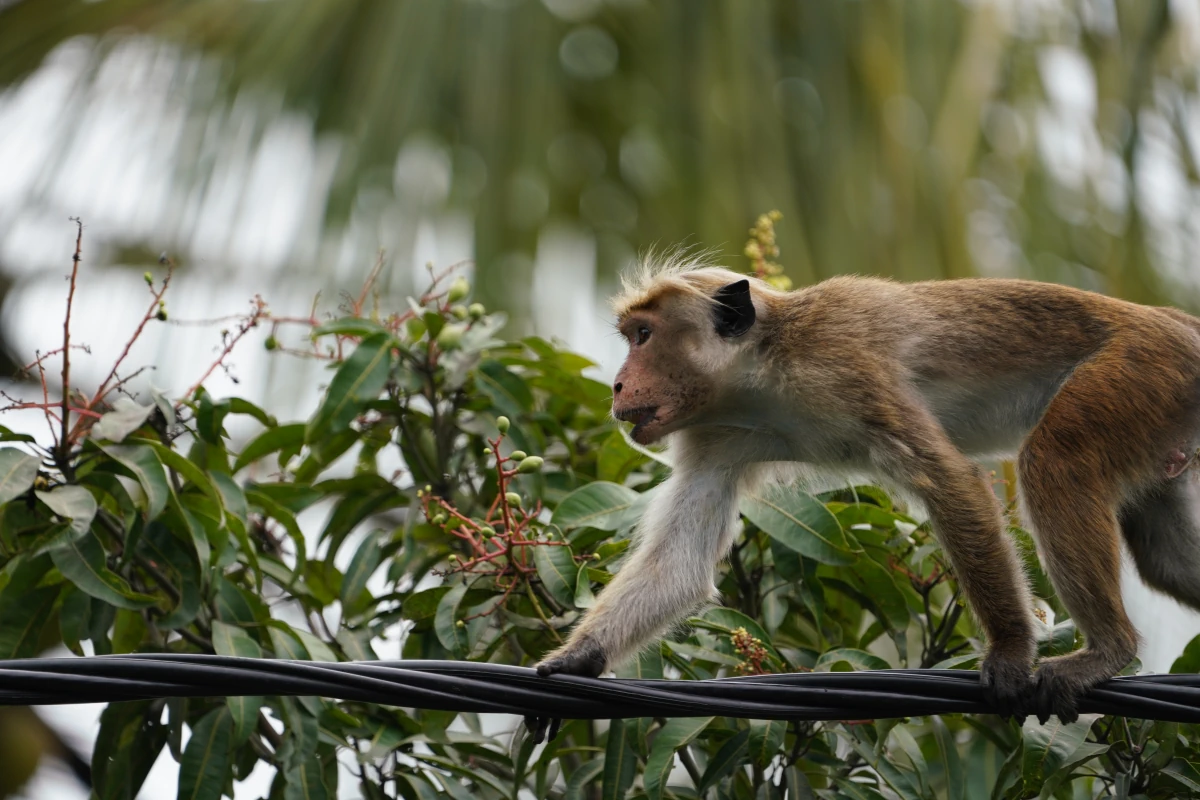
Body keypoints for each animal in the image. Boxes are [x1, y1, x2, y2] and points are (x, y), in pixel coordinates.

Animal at [532, 253, 1200, 734]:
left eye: (643, 335)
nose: (618, 385)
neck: (760, 373)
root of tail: (1174, 322)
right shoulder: (714, 436)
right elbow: (680, 566)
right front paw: (576, 660)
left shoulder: (844, 364)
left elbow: (950, 480)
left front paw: (1011, 650)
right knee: (1168, 560)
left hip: (1139, 370)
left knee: (1056, 460)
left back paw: (1108, 650)